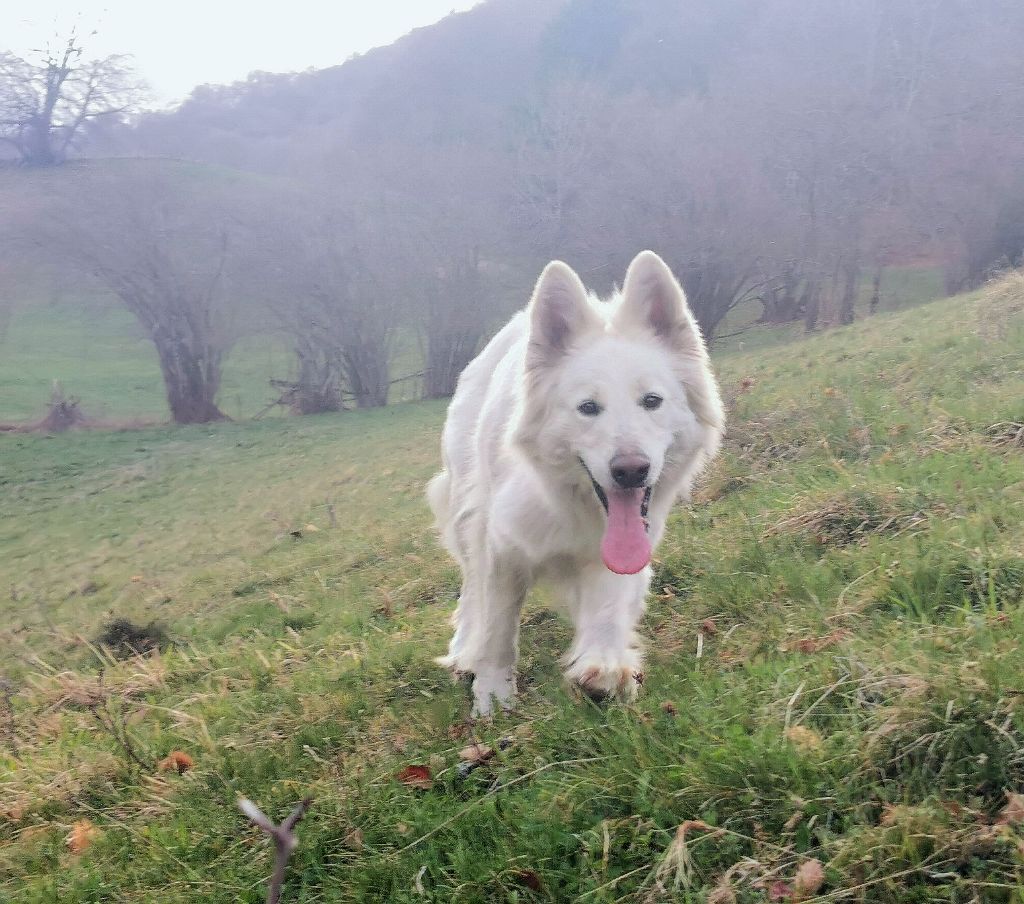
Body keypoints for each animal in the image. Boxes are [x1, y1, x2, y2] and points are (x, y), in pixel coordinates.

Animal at [428, 252, 724, 712]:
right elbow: (497, 629)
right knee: (471, 591)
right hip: (465, 514)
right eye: (588, 408)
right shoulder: (500, 548)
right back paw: (463, 651)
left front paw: (602, 669)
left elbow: (609, 605)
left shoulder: (625, 550)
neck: (571, 505)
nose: (631, 470)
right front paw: (492, 696)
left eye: (651, 401)